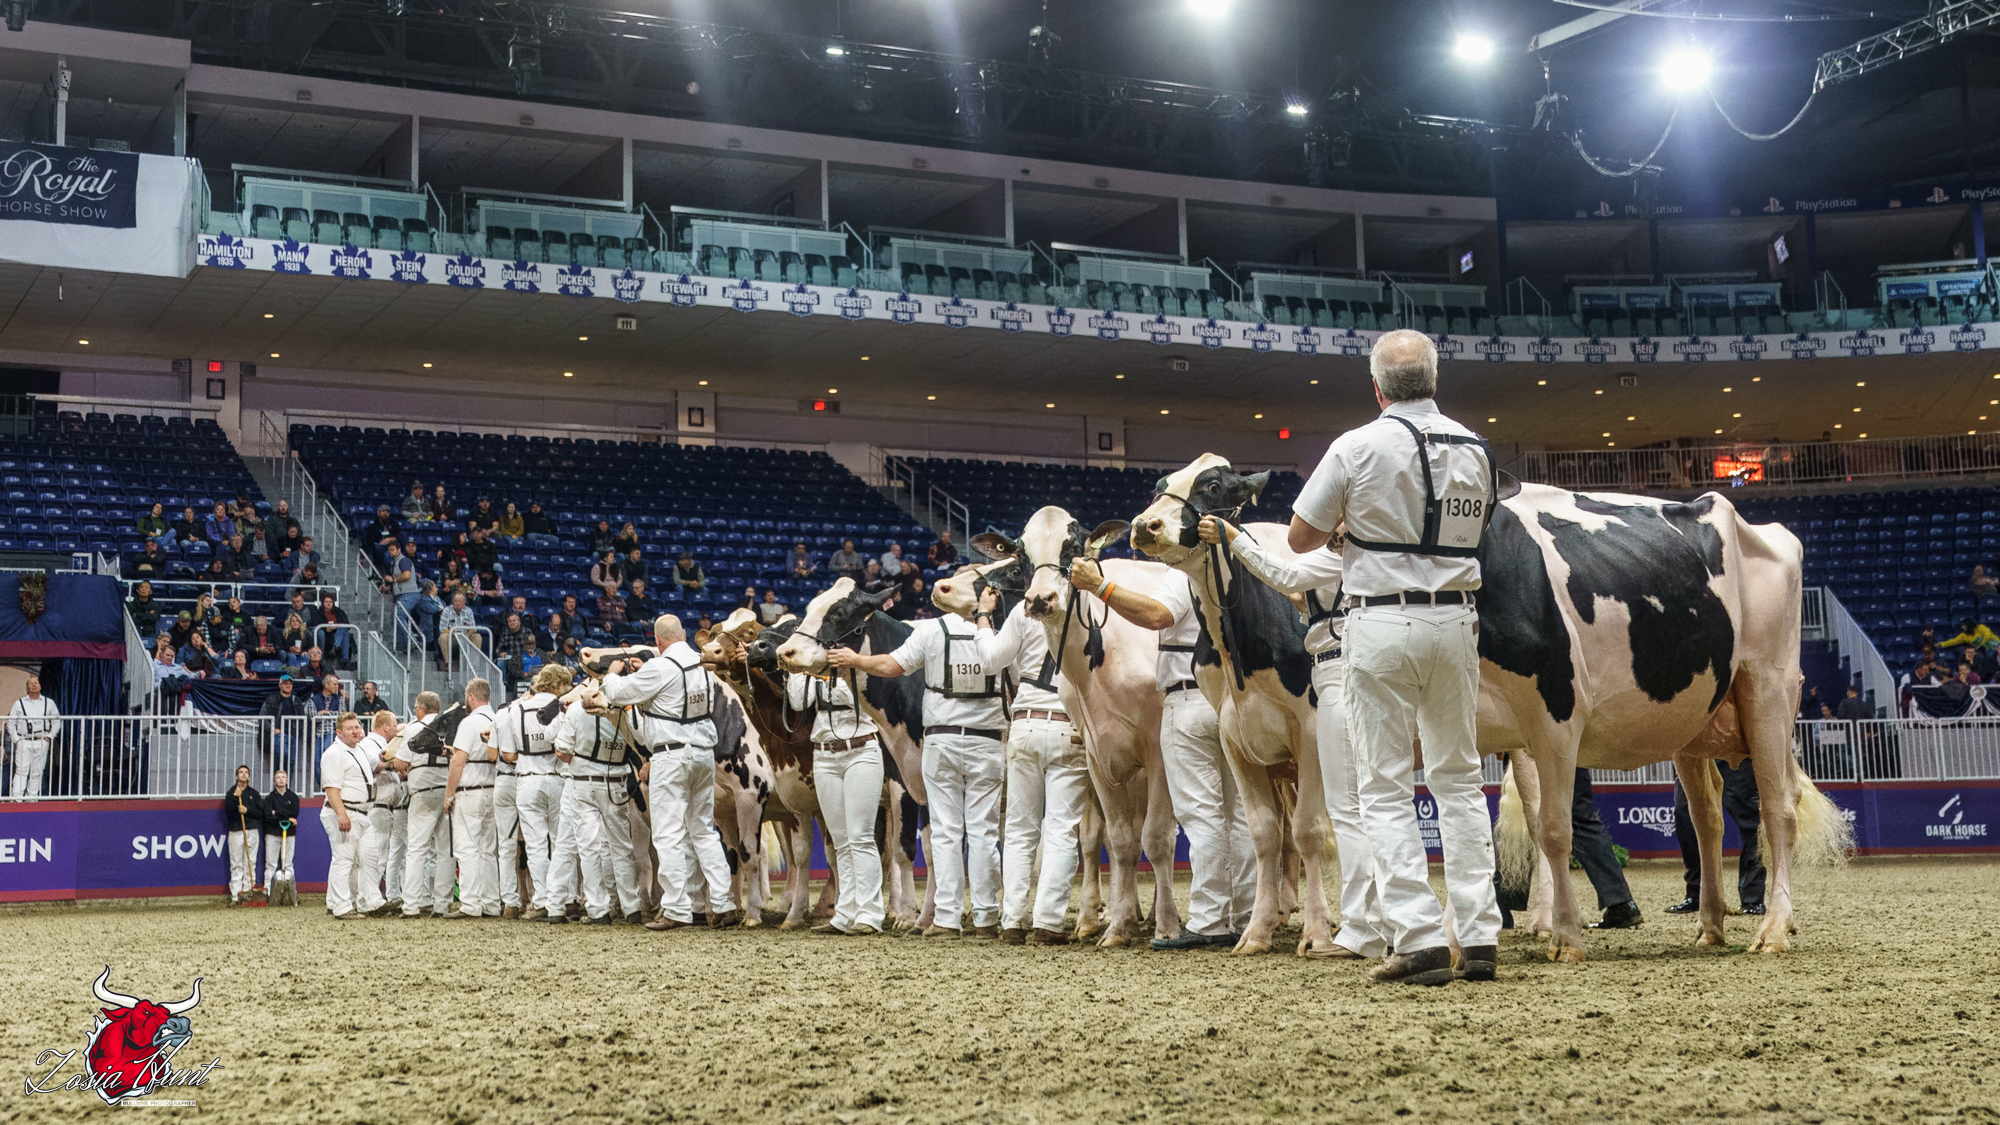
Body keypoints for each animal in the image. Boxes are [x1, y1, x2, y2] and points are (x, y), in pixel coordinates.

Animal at [951, 510, 1183, 946]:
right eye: (1021, 553)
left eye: (1073, 547)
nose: (1040, 599)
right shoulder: (1095, 755)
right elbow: (1118, 840)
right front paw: (1117, 926)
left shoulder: (1159, 754)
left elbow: (1157, 838)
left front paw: (1166, 925)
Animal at [1130, 457, 1340, 956]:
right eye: (1159, 486)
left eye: (1212, 485)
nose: (1144, 525)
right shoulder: (1235, 738)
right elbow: (1265, 834)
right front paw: (1257, 932)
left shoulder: (1310, 729)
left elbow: (1308, 831)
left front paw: (1317, 932)